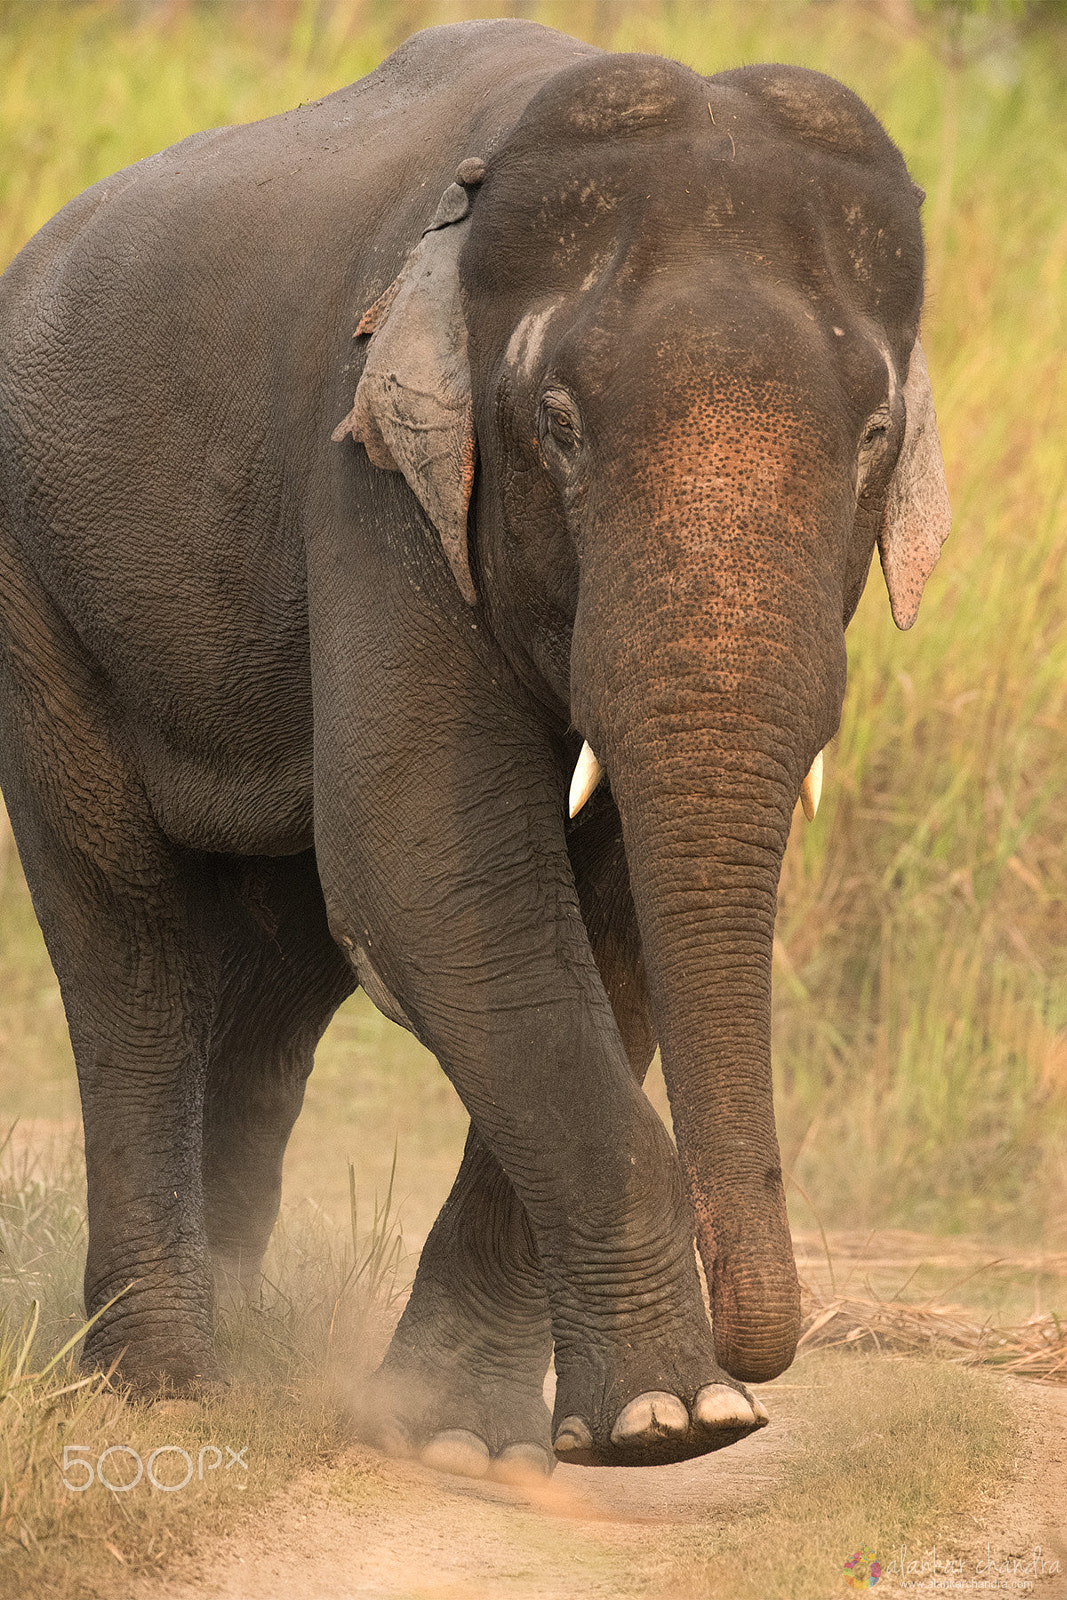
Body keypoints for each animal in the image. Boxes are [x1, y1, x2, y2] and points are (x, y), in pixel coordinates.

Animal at [0, 18, 953, 1478]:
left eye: (870, 439)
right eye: (555, 426)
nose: (762, 1363)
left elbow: (599, 912)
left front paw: (487, 1438)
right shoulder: (373, 478)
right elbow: (436, 872)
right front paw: (674, 1427)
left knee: (278, 970)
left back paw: (246, 1326)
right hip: (39, 590)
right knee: (127, 932)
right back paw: (164, 1384)